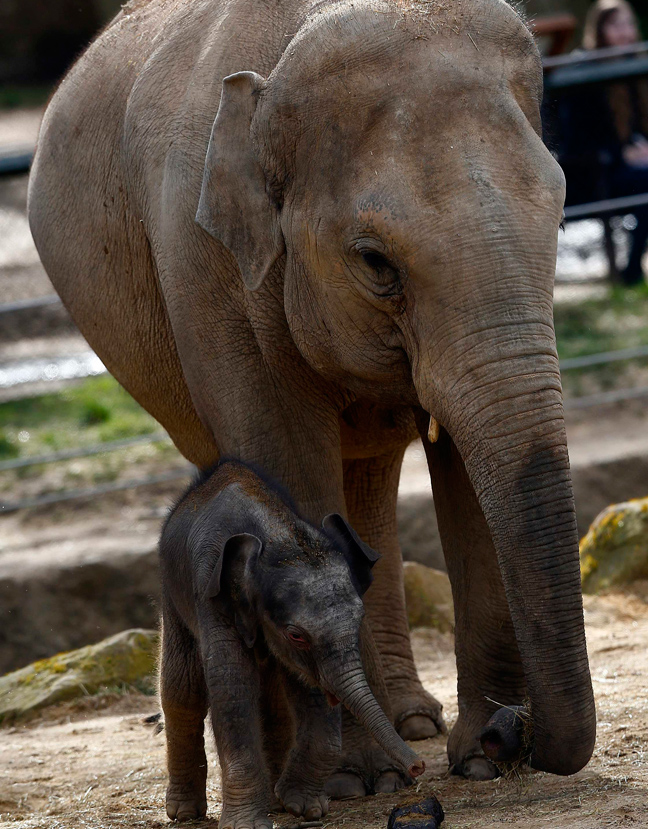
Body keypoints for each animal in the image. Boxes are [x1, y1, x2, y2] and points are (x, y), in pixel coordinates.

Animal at [160, 462, 426, 824]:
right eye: (296, 635)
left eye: (359, 619)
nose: (419, 766)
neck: (278, 535)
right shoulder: (212, 597)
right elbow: (232, 687)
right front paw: (248, 825)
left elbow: (308, 686)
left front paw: (303, 807)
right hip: (173, 595)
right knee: (183, 688)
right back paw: (185, 813)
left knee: (271, 700)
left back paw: (274, 801)